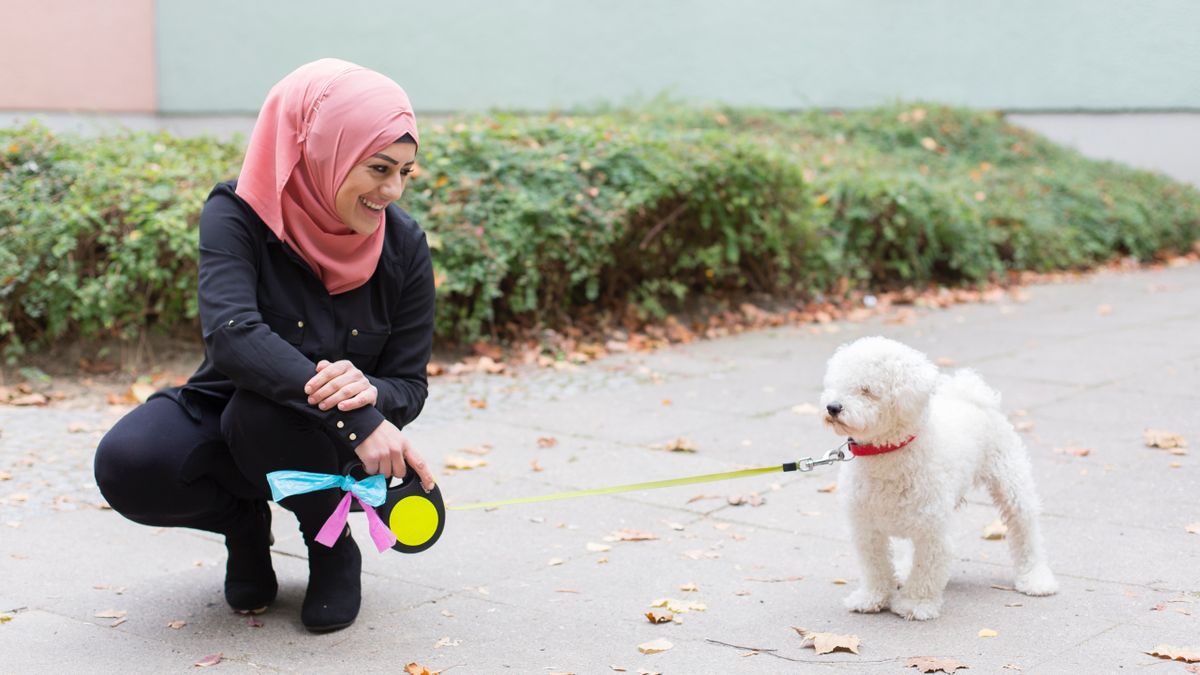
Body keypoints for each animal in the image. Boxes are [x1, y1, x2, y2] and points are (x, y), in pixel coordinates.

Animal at [820, 333, 1056, 619]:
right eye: (837, 384)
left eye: (867, 390)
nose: (832, 407)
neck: (887, 451)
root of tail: (970, 393)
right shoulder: (866, 528)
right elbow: (875, 566)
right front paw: (871, 597)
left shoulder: (932, 530)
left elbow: (927, 569)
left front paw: (915, 604)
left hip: (1010, 481)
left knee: (1025, 530)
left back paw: (1035, 578)